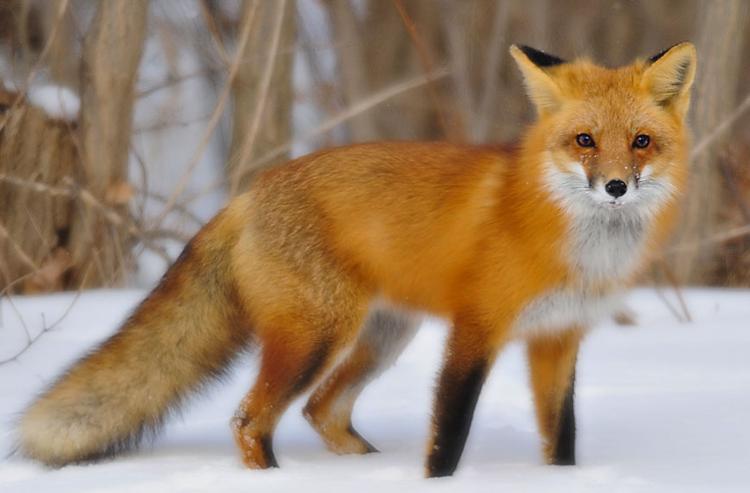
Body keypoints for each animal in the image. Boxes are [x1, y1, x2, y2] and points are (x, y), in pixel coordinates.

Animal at [17, 42, 696, 477]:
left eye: (641, 142)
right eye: (584, 141)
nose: (616, 187)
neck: (575, 244)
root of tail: (249, 191)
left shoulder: (558, 337)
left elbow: (562, 440)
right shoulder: (476, 330)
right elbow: (447, 437)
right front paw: (437, 480)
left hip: (383, 337)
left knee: (321, 410)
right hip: (317, 336)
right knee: (250, 420)